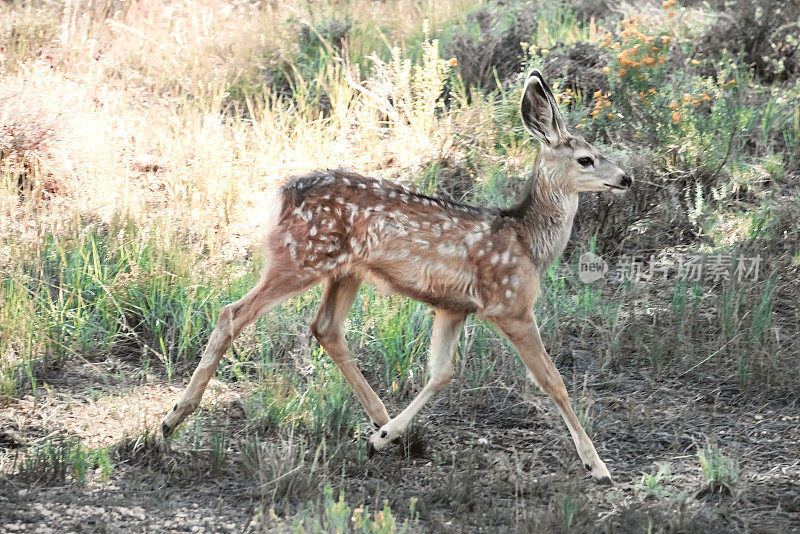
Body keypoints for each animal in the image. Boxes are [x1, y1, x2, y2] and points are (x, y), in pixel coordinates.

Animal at [161, 70, 632, 486]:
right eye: (587, 158)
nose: (626, 177)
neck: (528, 242)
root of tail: (282, 193)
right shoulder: (510, 303)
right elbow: (554, 381)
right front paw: (598, 466)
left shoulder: (453, 307)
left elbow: (441, 373)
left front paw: (383, 438)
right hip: (300, 258)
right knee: (232, 313)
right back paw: (173, 419)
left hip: (344, 270)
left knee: (325, 327)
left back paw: (381, 422)